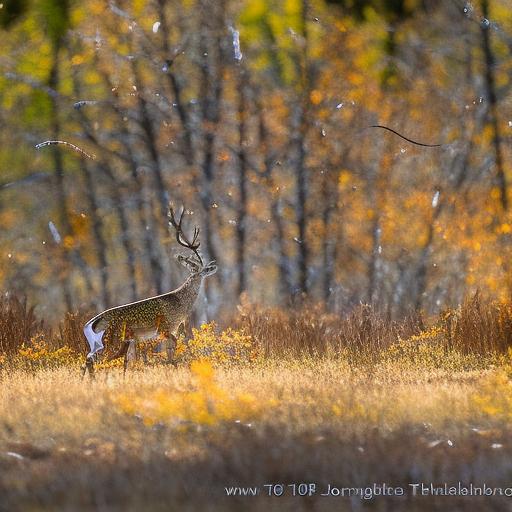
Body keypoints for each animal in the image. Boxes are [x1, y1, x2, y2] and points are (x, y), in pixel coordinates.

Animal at [81, 205, 216, 376]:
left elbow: (170, 351)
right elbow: (172, 348)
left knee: (89, 359)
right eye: (201, 271)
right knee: (97, 359)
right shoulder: (165, 328)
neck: (180, 303)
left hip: (103, 343)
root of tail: (90, 324)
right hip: (112, 339)